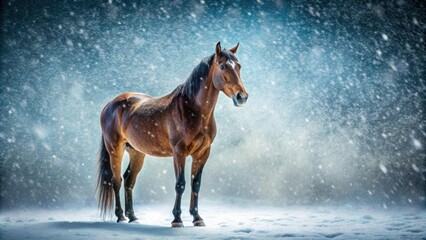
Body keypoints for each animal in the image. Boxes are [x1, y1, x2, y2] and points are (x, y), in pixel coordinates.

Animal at [96, 41, 248, 227]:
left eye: (239, 66)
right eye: (222, 66)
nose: (242, 97)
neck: (192, 109)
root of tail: (110, 104)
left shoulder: (202, 153)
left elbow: (196, 184)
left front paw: (197, 218)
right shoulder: (179, 152)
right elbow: (180, 184)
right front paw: (177, 220)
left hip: (136, 152)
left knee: (129, 180)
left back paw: (133, 217)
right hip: (114, 149)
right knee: (116, 181)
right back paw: (120, 217)